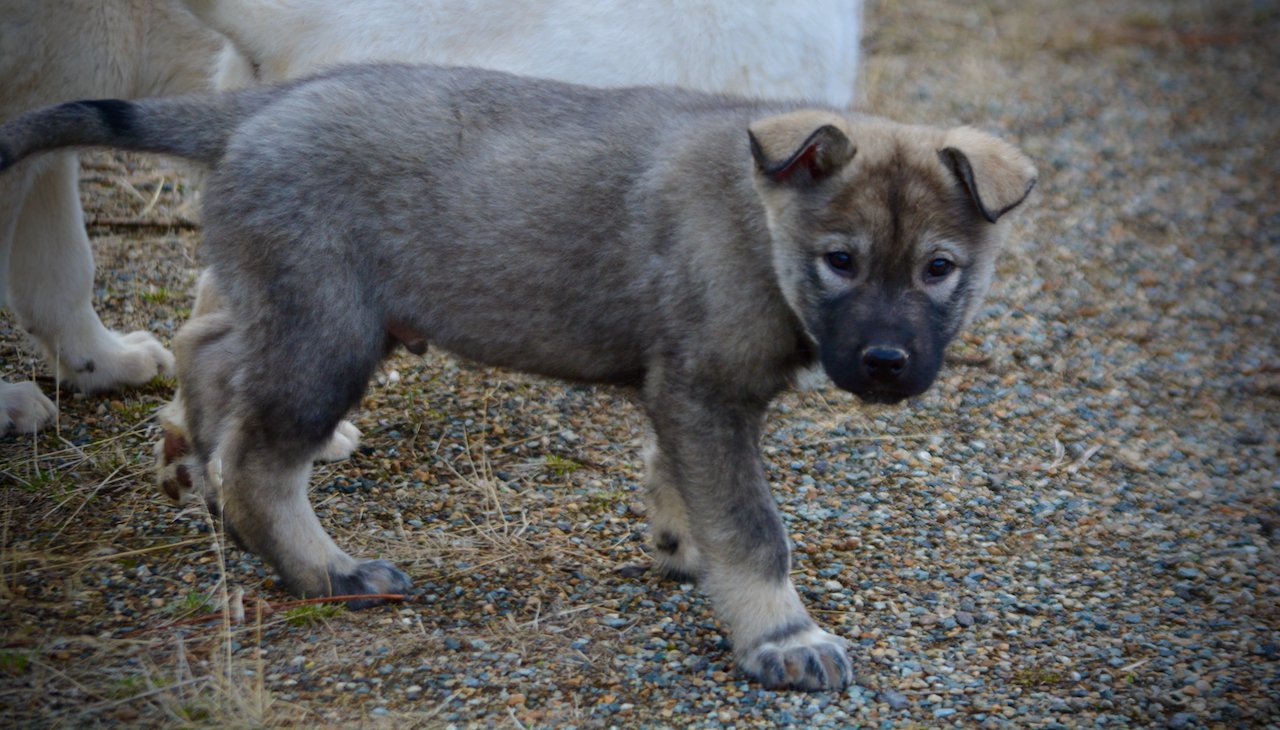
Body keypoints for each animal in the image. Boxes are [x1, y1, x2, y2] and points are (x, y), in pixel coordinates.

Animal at [0, 64, 1034, 686]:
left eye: (939, 269)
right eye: (841, 261)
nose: (887, 366)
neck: (759, 222)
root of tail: (259, 107)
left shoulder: (686, 390)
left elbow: (681, 481)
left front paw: (681, 545)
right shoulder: (705, 389)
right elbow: (754, 528)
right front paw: (783, 636)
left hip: (290, 309)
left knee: (209, 349)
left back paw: (195, 468)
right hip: (328, 334)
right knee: (262, 461)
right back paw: (324, 569)